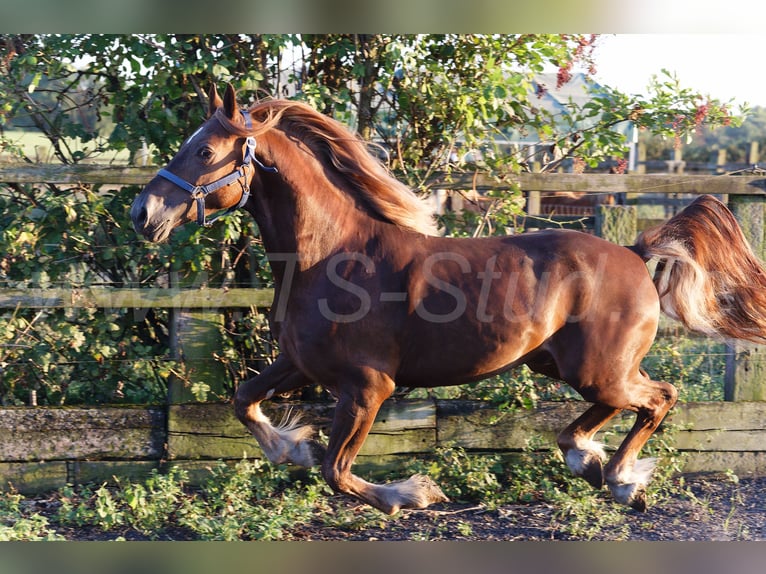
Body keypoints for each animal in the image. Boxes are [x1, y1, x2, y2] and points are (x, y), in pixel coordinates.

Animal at [131, 83, 766, 515]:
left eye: (206, 152)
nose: (143, 213)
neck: (331, 255)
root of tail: (636, 251)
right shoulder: (300, 364)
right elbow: (246, 401)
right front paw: (292, 448)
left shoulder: (367, 386)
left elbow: (338, 471)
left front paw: (410, 492)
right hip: (564, 364)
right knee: (619, 410)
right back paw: (592, 463)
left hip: (598, 369)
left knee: (659, 397)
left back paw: (621, 479)